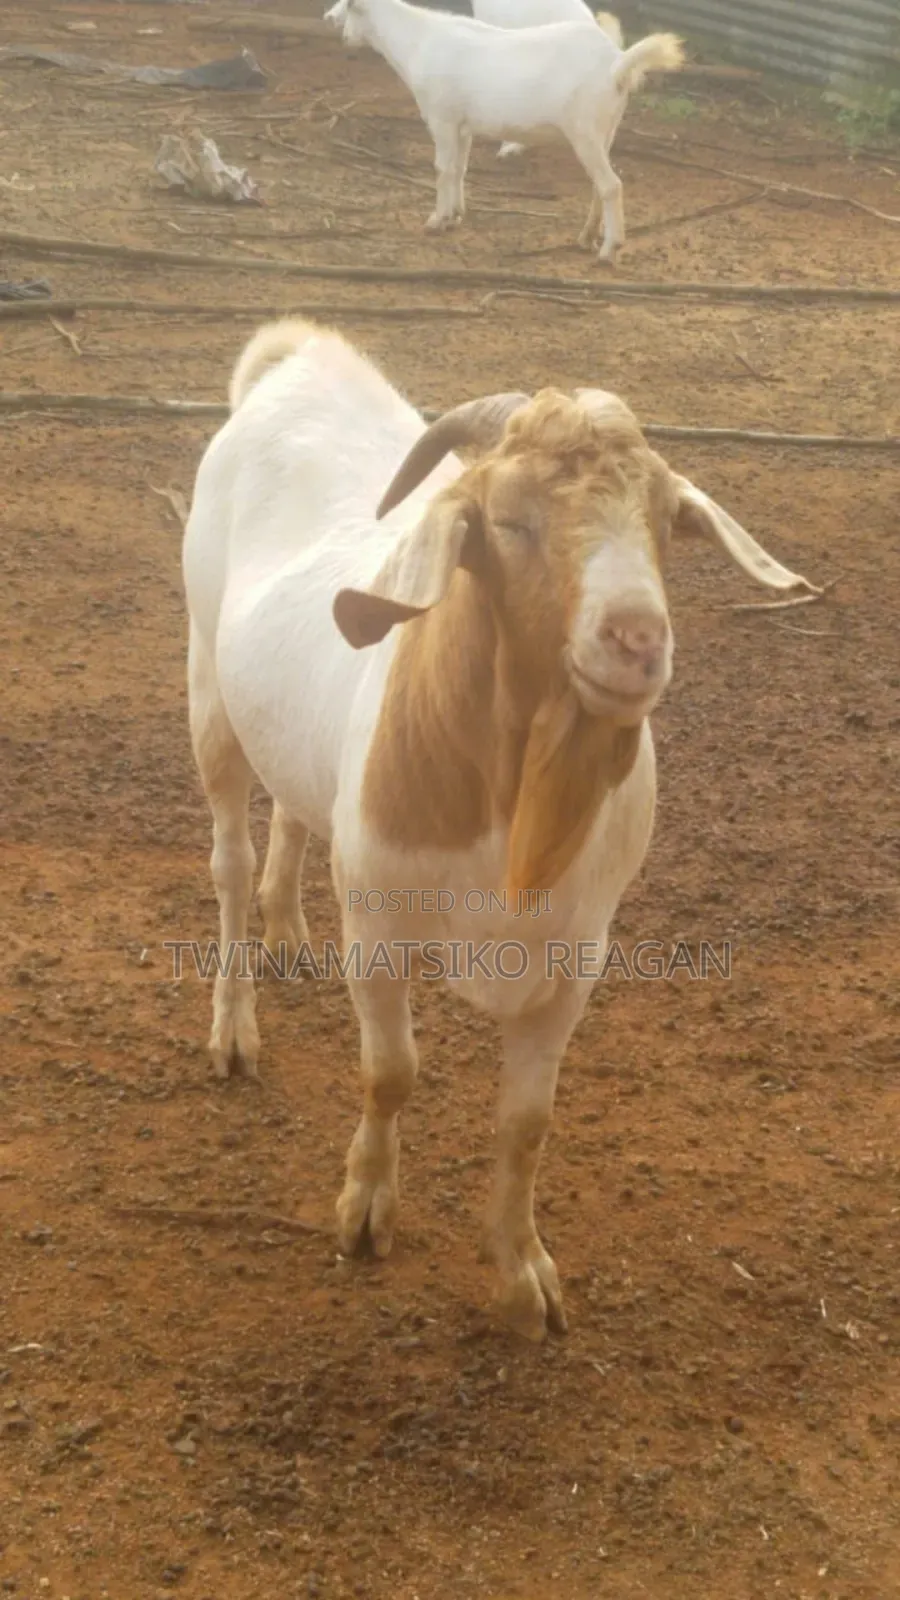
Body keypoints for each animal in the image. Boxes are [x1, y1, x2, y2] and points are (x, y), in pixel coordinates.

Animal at [182, 317, 820, 1341]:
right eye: (510, 520)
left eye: (663, 521)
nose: (637, 640)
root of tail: (302, 356)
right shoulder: (380, 926)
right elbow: (392, 1073)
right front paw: (365, 1214)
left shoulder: (576, 955)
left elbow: (528, 1123)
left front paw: (524, 1278)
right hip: (207, 678)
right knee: (230, 860)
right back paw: (235, 1029)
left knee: (292, 810)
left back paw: (288, 932)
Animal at [322, 0, 682, 261]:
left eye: (349, 5)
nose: (329, 19)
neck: (417, 42)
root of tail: (616, 65)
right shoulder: (462, 125)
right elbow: (459, 169)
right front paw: (455, 215)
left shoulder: (441, 117)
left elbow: (441, 169)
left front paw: (436, 221)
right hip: (606, 128)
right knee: (601, 184)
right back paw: (587, 237)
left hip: (584, 130)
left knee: (611, 185)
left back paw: (609, 249)